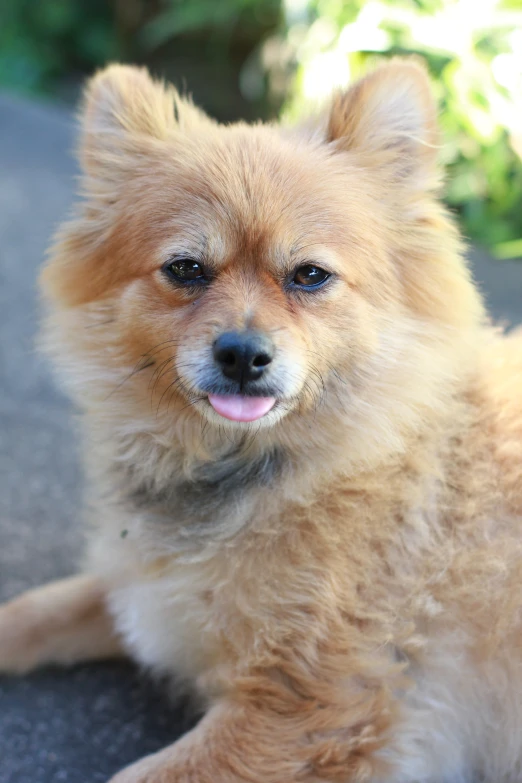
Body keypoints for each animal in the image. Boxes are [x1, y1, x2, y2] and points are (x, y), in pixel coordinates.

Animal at [1, 61, 520, 783]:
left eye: (309, 276)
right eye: (186, 269)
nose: (242, 354)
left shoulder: (299, 708)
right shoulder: (145, 595)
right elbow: (32, 610)